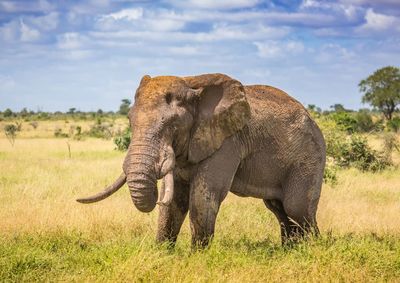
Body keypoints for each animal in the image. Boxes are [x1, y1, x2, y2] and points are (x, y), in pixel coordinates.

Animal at [76, 73, 326, 248]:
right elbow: (175, 200)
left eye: (173, 125)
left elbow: (204, 195)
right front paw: (162, 254)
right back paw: (290, 251)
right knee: (278, 209)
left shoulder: (227, 141)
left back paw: (312, 250)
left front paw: (197, 257)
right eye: (129, 120)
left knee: (297, 208)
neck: (190, 83)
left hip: (309, 157)